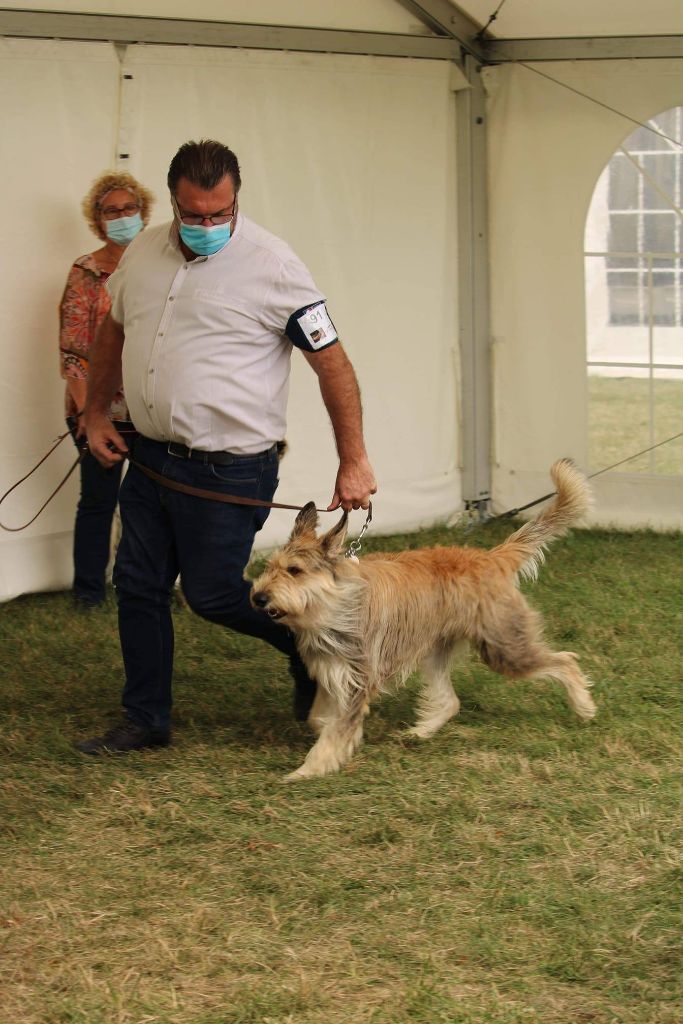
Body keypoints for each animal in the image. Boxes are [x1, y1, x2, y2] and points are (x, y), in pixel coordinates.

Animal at [252, 460, 598, 778]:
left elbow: (336, 731)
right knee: (450, 701)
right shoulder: (333, 672)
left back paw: (584, 706)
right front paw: (328, 737)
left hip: (505, 647)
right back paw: (421, 732)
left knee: (566, 660)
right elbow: (322, 718)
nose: (258, 597)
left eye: (294, 571)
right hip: (436, 650)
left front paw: (308, 770)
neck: (334, 604)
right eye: (269, 567)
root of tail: (491, 558)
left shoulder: (358, 678)